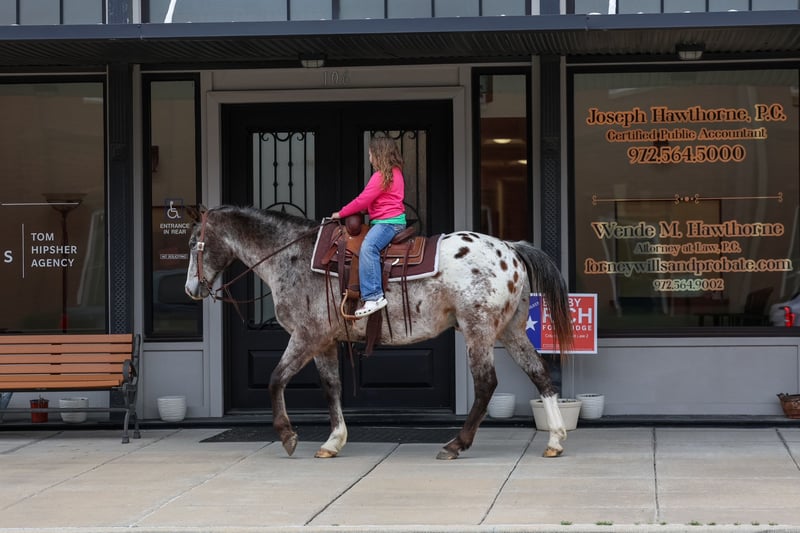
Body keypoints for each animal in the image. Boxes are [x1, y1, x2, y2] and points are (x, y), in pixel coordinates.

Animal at [184, 205, 574, 460]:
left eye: (193, 243)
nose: (191, 289)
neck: (292, 256)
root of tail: (510, 249)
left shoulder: (306, 335)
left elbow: (275, 378)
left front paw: (287, 435)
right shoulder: (325, 341)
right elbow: (331, 387)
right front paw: (334, 440)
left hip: (478, 329)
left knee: (486, 384)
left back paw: (456, 444)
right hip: (510, 330)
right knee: (539, 374)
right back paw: (555, 439)